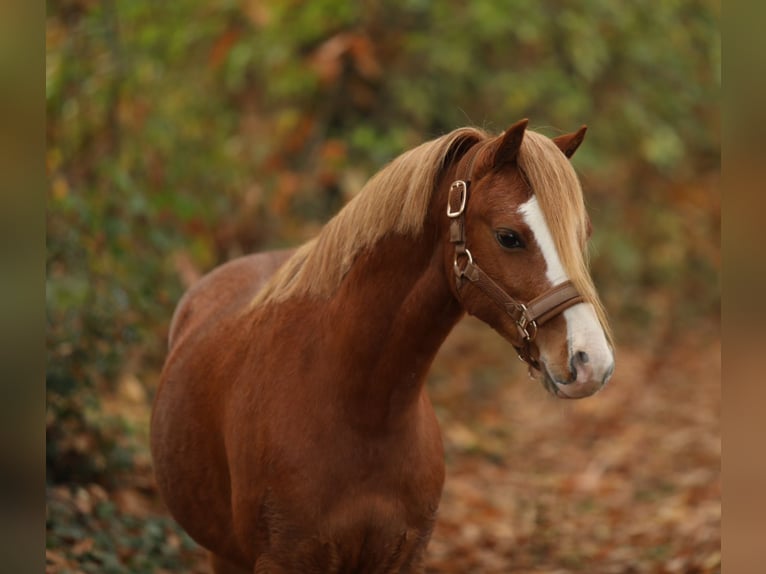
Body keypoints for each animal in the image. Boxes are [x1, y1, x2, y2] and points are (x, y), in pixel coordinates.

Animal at [150, 119, 615, 573]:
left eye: (583, 233)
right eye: (508, 237)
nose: (591, 362)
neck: (363, 410)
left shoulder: (403, 557)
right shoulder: (284, 560)